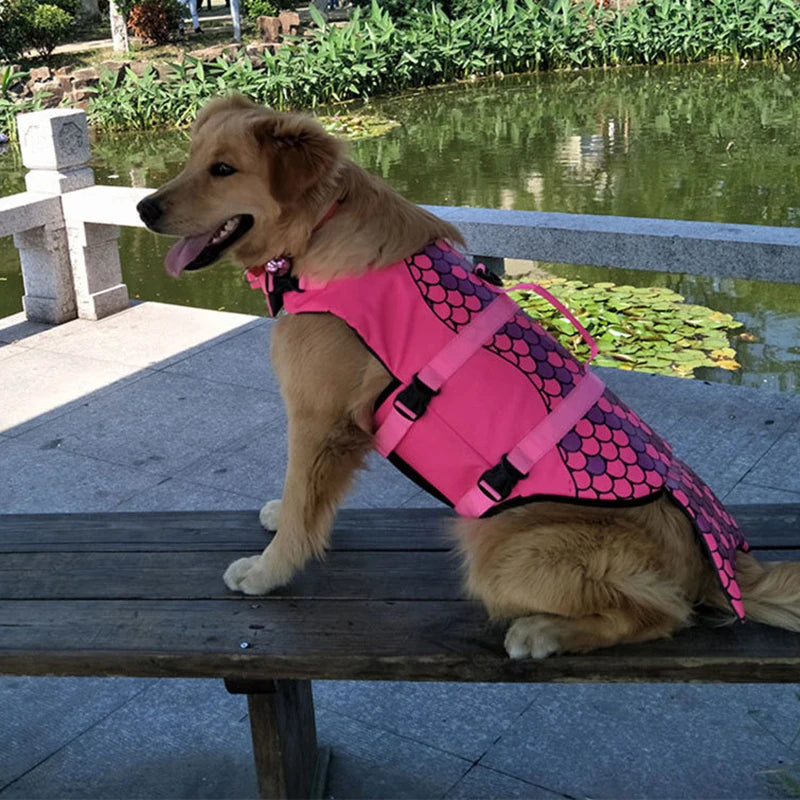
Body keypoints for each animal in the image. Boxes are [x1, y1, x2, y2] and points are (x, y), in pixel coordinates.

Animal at [141, 94, 800, 656]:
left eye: (223, 170)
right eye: (191, 159)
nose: (145, 207)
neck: (318, 234)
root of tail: (717, 560)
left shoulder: (318, 418)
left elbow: (305, 500)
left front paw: (267, 571)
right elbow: (306, 498)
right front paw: (282, 515)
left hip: (498, 547)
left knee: (664, 613)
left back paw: (541, 632)